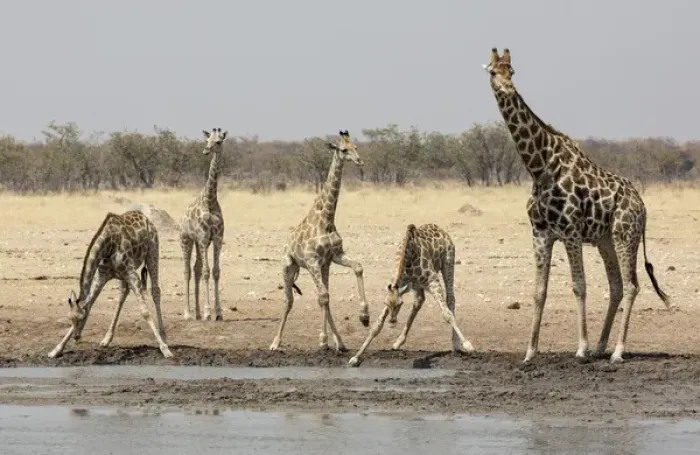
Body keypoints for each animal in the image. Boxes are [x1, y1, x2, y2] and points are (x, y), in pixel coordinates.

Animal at [48, 210, 172, 359]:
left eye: (81, 318)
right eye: (69, 318)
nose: (76, 337)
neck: (107, 246)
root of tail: (145, 218)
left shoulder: (131, 274)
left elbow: (145, 312)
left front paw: (165, 349)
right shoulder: (102, 275)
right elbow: (90, 303)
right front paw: (56, 350)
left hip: (152, 252)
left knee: (155, 291)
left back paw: (164, 337)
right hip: (123, 275)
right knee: (123, 293)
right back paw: (106, 340)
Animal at [269, 130, 370, 352]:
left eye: (356, 147)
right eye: (343, 149)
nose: (360, 161)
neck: (327, 219)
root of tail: (286, 243)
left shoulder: (334, 256)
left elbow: (357, 267)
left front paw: (364, 316)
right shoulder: (312, 260)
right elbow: (322, 296)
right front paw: (324, 340)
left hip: (323, 267)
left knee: (325, 297)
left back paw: (338, 342)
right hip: (289, 266)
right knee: (290, 300)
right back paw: (275, 342)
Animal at [348, 223, 474, 366]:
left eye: (400, 304)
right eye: (386, 303)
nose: (392, 321)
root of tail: (440, 229)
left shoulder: (432, 281)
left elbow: (447, 314)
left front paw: (468, 345)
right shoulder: (398, 286)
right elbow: (377, 326)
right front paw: (356, 357)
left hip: (448, 261)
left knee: (451, 298)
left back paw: (456, 345)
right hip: (417, 285)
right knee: (419, 301)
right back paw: (398, 342)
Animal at [483, 48, 670, 364]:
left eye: (513, 71)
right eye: (494, 72)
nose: (507, 88)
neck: (539, 168)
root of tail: (642, 206)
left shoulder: (570, 231)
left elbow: (579, 286)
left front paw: (580, 349)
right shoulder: (541, 233)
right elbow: (539, 291)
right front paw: (530, 353)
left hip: (625, 235)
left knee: (632, 285)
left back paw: (616, 352)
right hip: (606, 240)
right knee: (617, 286)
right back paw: (600, 347)